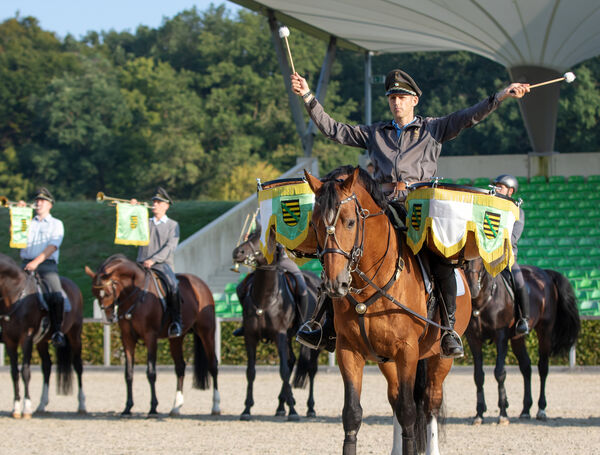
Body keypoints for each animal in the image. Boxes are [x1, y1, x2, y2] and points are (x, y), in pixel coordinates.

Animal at [0, 253, 86, 420]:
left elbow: (25, 372)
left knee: (78, 366)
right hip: (41, 341)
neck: (16, 295)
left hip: (75, 334)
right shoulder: (9, 340)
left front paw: (26, 408)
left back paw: (82, 405)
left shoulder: (26, 338)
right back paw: (41, 405)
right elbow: (14, 373)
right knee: (47, 366)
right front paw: (16, 408)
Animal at [85, 255, 221, 418]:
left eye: (108, 292)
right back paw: (175, 408)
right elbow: (128, 374)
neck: (134, 294)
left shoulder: (150, 336)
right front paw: (127, 408)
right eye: (94, 293)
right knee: (180, 367)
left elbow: (151, 373)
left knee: (213, 365)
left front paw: (153, 408)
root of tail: (200, 283)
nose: (107, 319)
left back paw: (215, 406)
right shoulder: (127, 338)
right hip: (176, 338)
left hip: (206, 332)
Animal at [231, 230, 324, 422]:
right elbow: (251, 372)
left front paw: (294, 411)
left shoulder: (279, 335)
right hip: (288, 338)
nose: (237, 252)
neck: (265, 298)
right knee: (291, 361)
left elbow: (284, 371)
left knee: (311, 369)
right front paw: (246, 409)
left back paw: (310, 408)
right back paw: (282, 406)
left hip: (314, 344)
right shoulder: (251, 337)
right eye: (250, 235)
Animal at [308, 169, 472, 455]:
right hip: (387, 360)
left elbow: (409, 412)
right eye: (315, 224)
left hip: (439, 358)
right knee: (396, 398)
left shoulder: (407, 350)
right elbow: (352, 414)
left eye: (350, 222)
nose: (334, 284)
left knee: (430, 402)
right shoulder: (348, 351)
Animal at [462, 258, 580, 426]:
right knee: (526, 367)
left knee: (543, 368)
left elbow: (500, 373)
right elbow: (478, 376)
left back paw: (541, 409)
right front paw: (479, 414)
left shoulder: (501, 335)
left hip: (545, 330)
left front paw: (503, 413)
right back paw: (525, 410)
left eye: (480, 259)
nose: (472, 288)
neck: (482, 299)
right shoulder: (473, 338)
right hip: (517, 339)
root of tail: (545, 273)